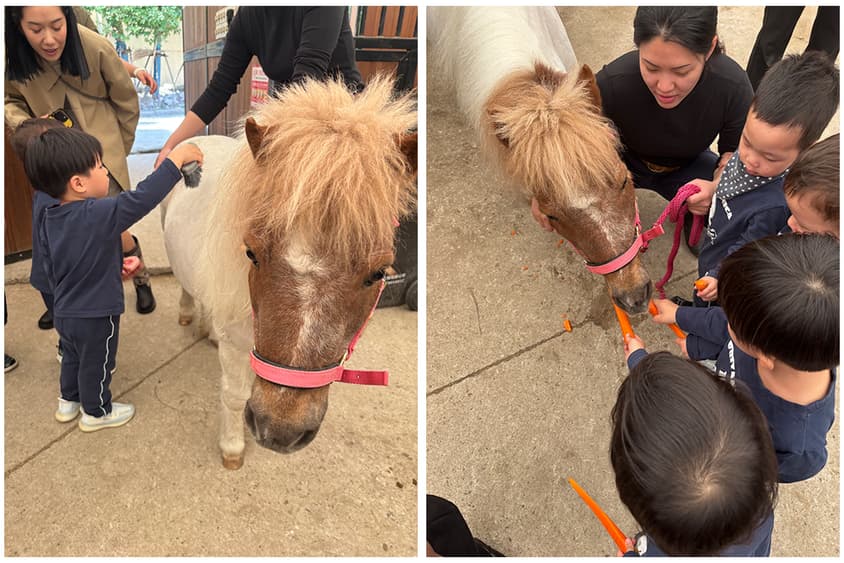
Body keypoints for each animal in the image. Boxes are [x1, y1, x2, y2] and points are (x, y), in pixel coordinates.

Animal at [160, 75, 418, 469]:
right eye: (251, 253)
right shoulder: (237, 347)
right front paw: (232, 448)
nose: (281, 430)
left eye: (377, 273)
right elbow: (234, 395)